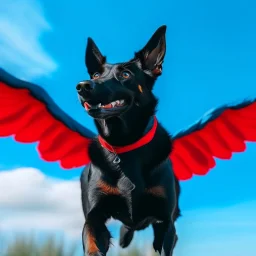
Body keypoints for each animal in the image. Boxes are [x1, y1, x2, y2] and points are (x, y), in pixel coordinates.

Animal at [78, 26, 180, 256]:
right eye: (96, 74)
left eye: (125, 74)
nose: (82, 86)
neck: (125, 143)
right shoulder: (94, 216)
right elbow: (92, 242)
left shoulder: (165, 222)